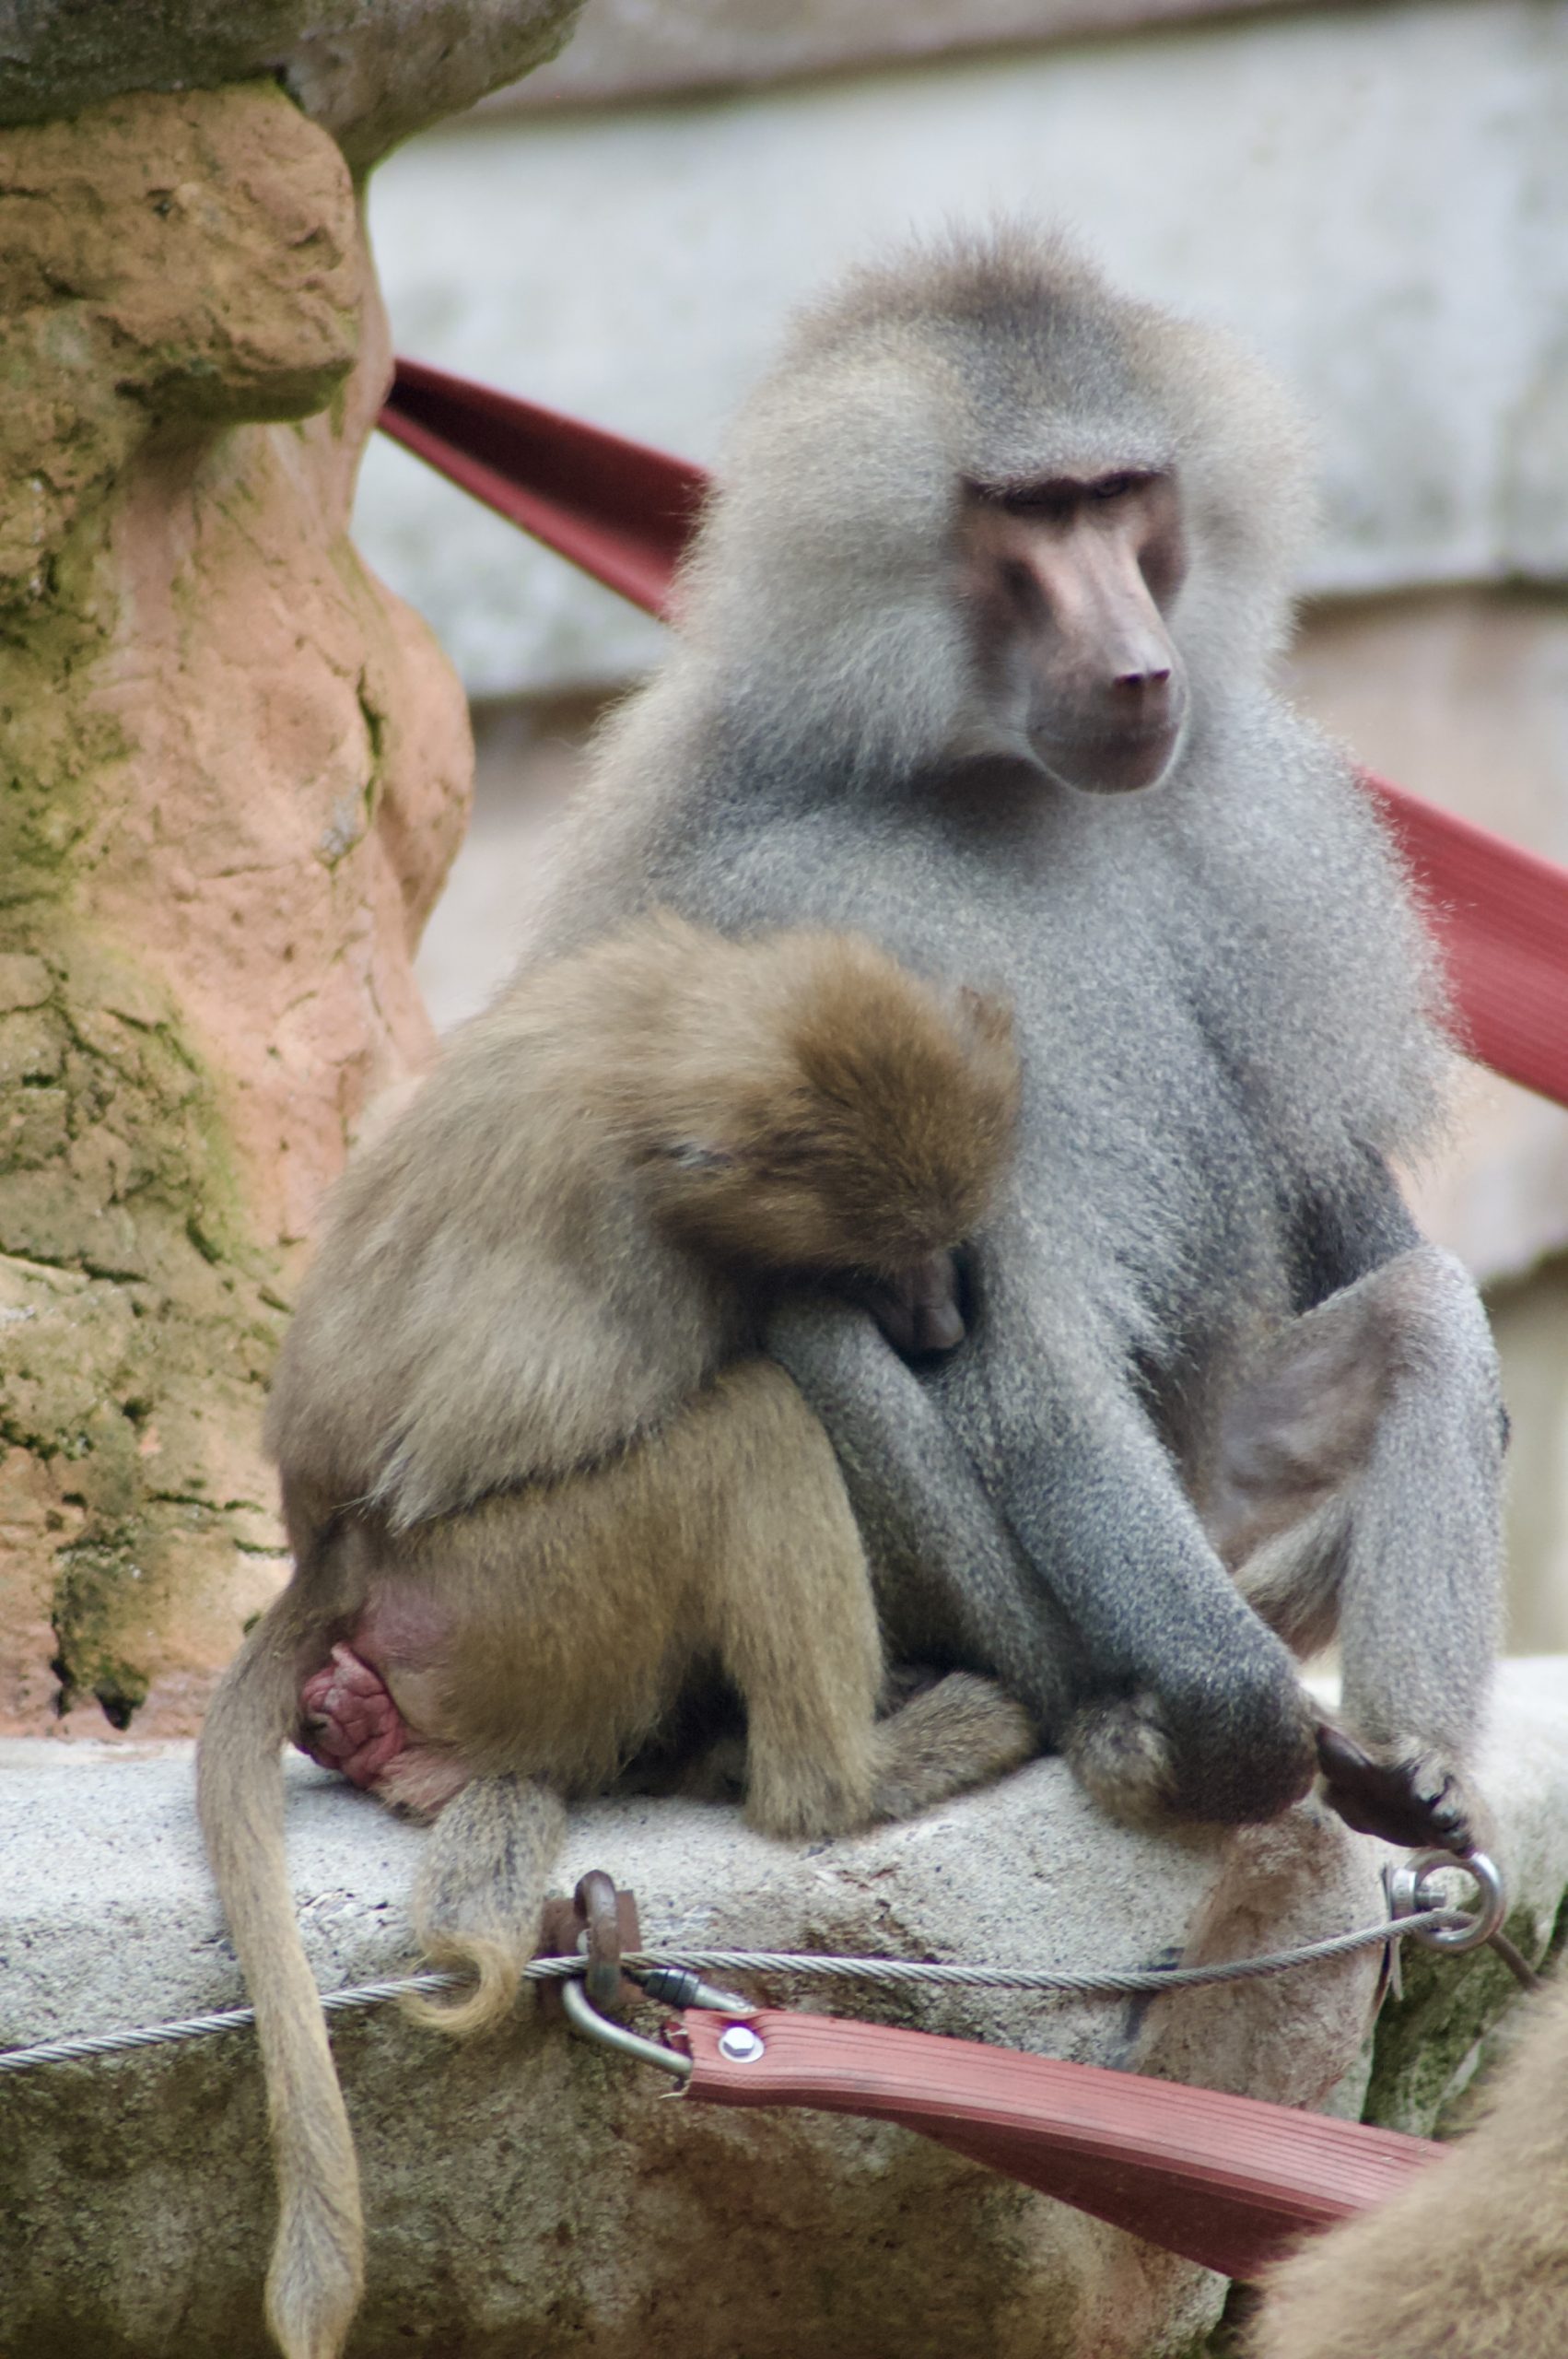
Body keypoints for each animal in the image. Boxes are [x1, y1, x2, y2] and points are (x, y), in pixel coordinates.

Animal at [198, 909, 1037, 2359]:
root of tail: (334, 1555)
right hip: (512, 1600)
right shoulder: (652, 1243)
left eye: (938, 1238)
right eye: (870, 1259)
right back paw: (858, 1774)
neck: (662, 1045)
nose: (937, 1324)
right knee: (751, 1421)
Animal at [512, 224, 1505, 1853]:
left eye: (1119, 496)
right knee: (825, 1341)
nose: (1143, 673)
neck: (991, 770)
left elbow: (1326, 1180)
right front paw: (1233, 1724)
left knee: (1420, 1315)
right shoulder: (845, 930)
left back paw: (1407, 1765)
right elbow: (1011, 1345)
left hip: (1216, 1482)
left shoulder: (1251, 829)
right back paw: (1108, 1725)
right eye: (1030, 517)